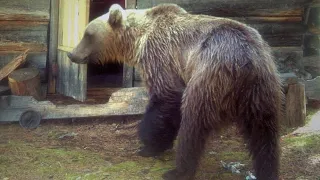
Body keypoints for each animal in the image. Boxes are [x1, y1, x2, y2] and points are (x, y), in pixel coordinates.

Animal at [67, 3, 282, 180]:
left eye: (87, 34)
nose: (71, 54)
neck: (137, 41)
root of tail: (246, 60)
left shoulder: (160, 55)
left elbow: (166, 97)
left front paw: (149, 144)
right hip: (262, 89)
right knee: (264, 134)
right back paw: (267, 171)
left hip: (208, 78)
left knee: (193, 125)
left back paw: (178, 171)